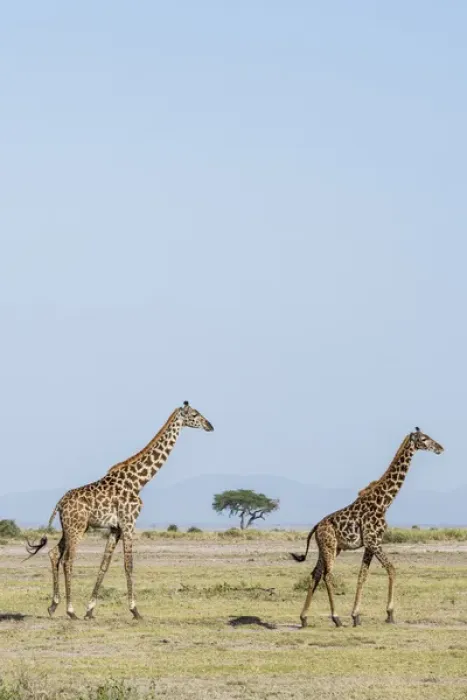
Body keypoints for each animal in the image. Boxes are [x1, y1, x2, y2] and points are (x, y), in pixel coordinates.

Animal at [25, 401, 214, 620]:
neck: (139, 481)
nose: (210, 425)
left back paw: (53, 606)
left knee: (54, 553)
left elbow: (104, 565)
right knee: (67, 561)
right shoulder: (129, 522)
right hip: (76, 529)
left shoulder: (115, 528)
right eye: (195, 414)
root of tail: (59, 503)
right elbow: (128, 564)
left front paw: (90, 610)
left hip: (69, 528)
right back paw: (70, 611)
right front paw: (135, 610)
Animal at [290, 428, 443, 628]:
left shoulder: (370, 545)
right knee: (327, 576)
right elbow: (391, 569)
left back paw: (304, 618)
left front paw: (356, 616)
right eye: (424, 439)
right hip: (330, 546)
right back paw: (336, 618)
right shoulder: (374, 541)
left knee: (316, 573)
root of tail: (316, 527)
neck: (384, 503)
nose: (440, 448)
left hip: (329, 548)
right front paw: (389, 614)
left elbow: (362, 576)